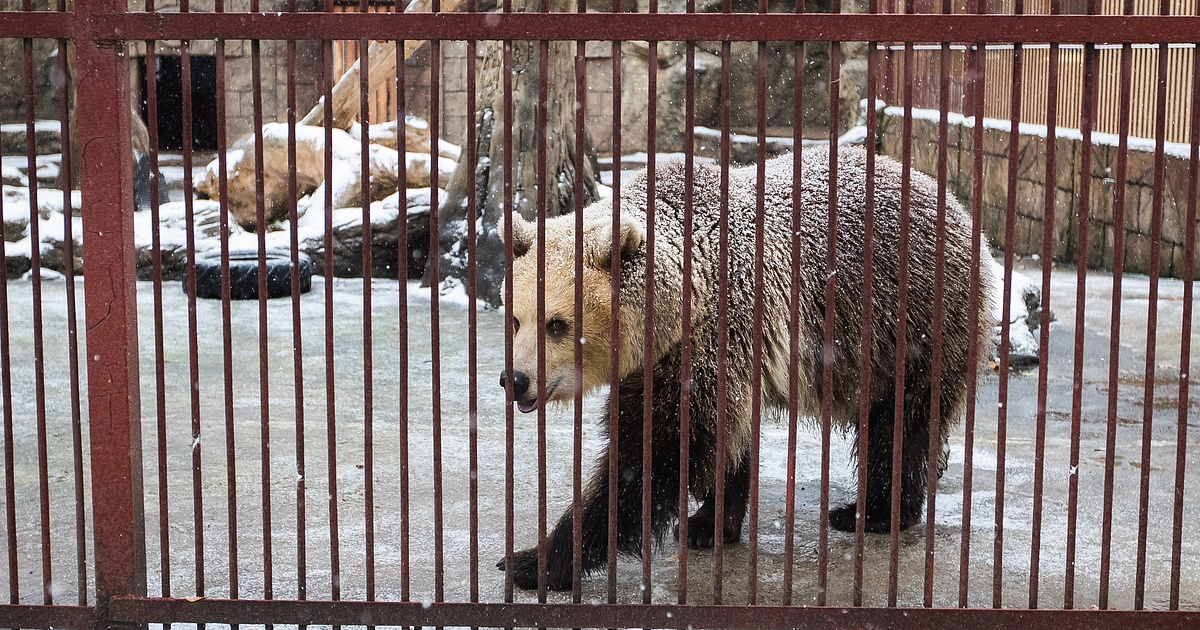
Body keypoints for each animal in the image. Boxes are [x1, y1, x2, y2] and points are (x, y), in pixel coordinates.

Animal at [496, 146, 993, 590]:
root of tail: (955, 206)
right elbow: (724, 439)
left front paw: (533, 560)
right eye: (516, 319)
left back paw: (869, 512)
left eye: (557, 324)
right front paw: (707, 522)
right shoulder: (678, 358)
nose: (514, 380)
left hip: (909, 321)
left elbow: (654, 452)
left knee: (900, 420)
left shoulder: (714, 334)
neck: (680, 304)